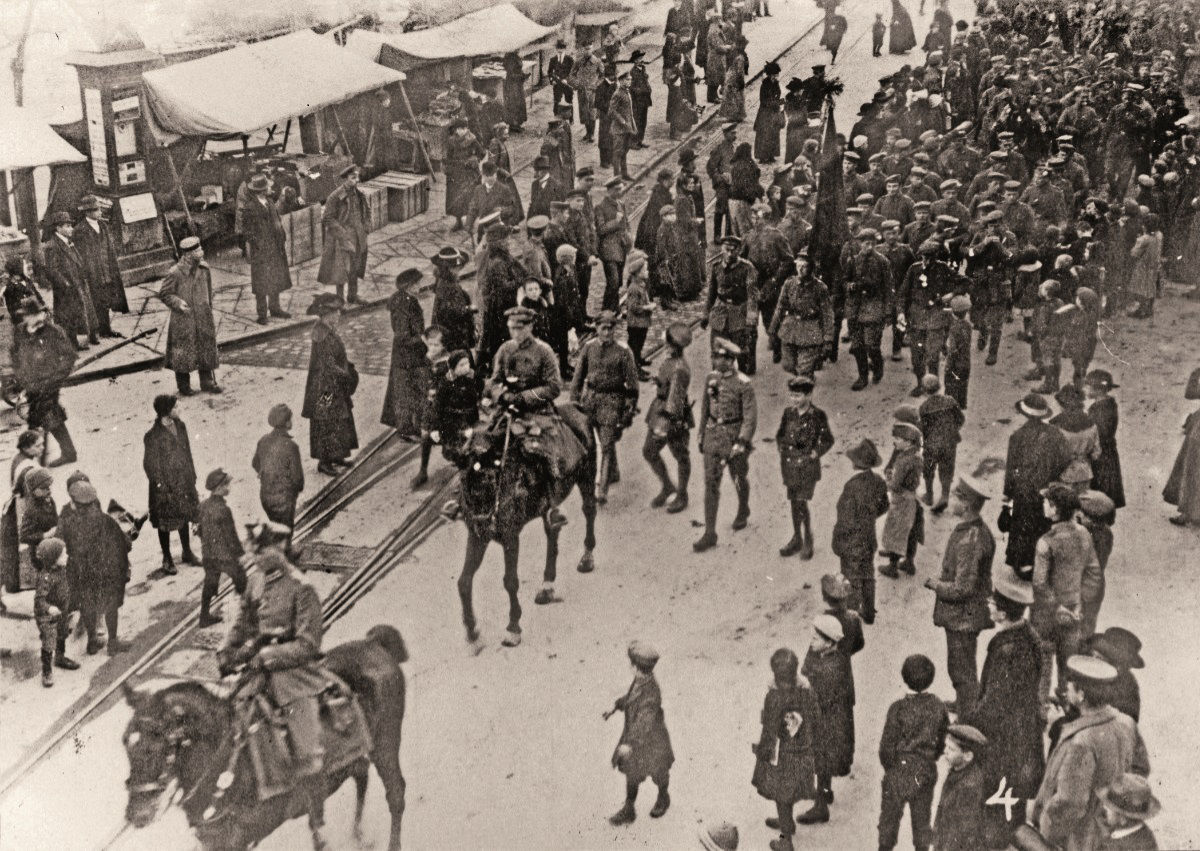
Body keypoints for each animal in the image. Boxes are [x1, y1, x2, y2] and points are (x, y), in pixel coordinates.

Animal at [123, 619, 408, 844]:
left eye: (156, 745)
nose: (137, 815)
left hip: (386, 741)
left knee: (395, 794)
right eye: (127, 744)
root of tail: (373, 643)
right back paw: (358, 834)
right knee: (360, 771)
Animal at [448, 405, 597, 652]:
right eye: (465, 466)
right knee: (552, 531)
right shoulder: (477, 536)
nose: (486, 515)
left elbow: (510, 581)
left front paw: (513, 628)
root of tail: (576, 408)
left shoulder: (510, 538)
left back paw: (587, 558)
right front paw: (472, 631)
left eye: (494, 462)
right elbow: (464, 582)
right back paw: (547, 586)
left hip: (586, 476)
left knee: (589, 510)